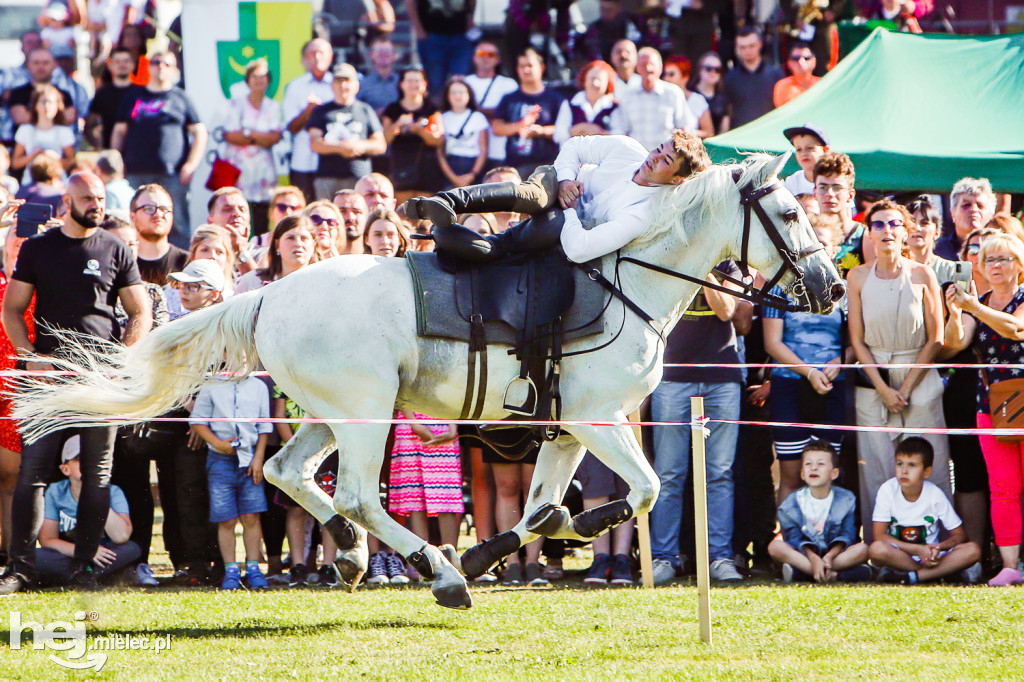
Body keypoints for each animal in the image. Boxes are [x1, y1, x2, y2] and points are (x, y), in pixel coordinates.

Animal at [9, 152, 839, 606]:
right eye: (791, 213)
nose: (830, 287)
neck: (630, 273)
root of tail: (269, 292)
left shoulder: (570, 428)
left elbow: (542, 507)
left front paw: (500, 547)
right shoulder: (598, 420)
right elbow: (642, 491)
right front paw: (499, 553)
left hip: (332, 412)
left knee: (287, 472)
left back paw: (355, 553)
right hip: (368, 411)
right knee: (352, 492)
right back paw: (434, 573)